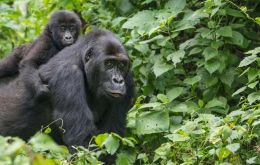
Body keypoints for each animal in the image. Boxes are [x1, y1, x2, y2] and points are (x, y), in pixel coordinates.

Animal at [0, 29, 134, 153]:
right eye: (109, 63)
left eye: (121, 65)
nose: (118, 80)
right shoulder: (68, 74)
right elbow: (83, 141)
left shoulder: (128, 81)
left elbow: (111, 137)